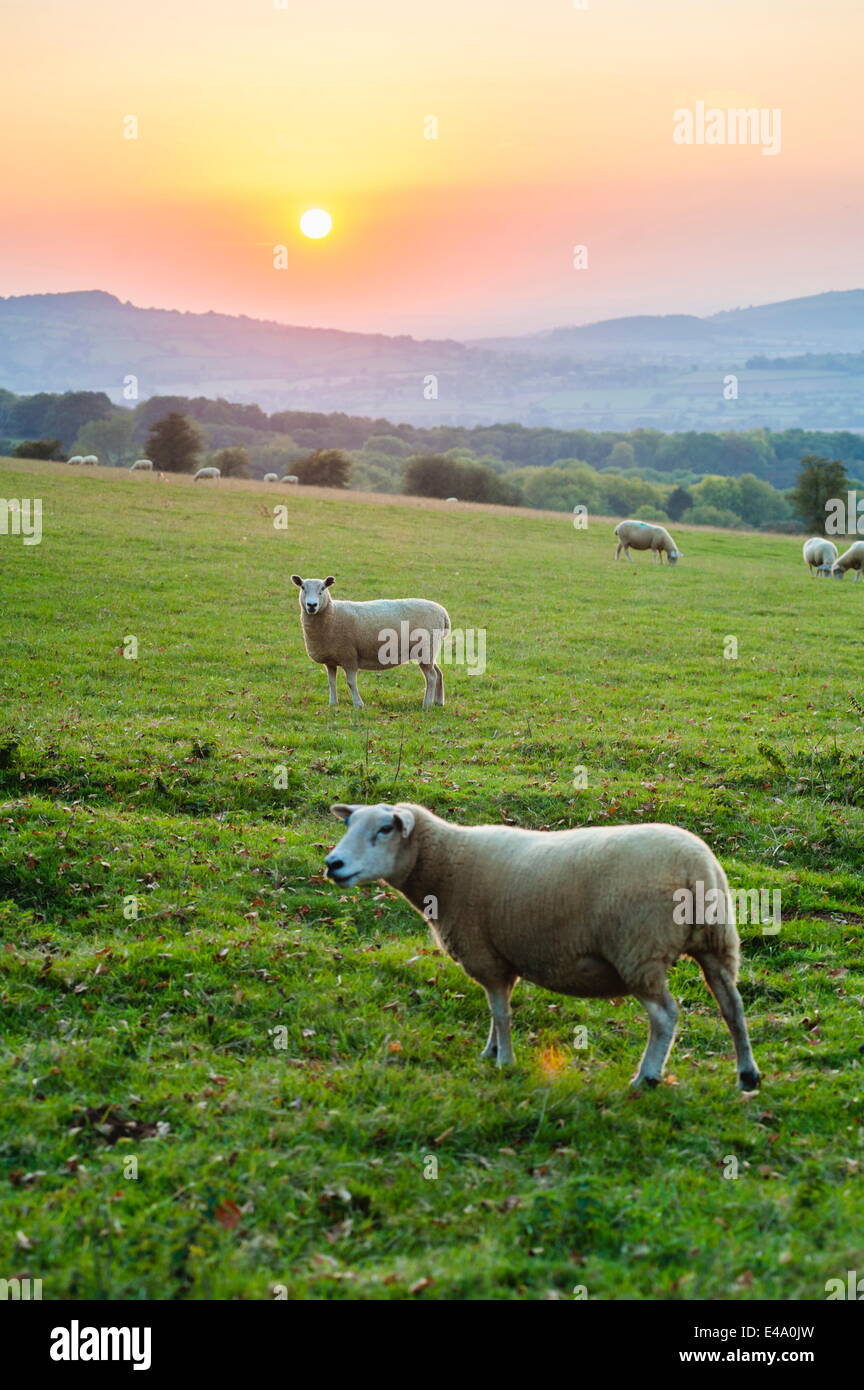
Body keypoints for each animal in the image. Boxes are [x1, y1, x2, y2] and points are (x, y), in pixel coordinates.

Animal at [293, 572, 452, 711]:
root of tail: (443, 613)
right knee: (438, 673)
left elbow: (351, 683)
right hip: (430, 650)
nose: (311, 605)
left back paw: (426, 705)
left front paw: (358, 705)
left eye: (323, 588)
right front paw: (333, 703)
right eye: (302, 587)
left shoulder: (349, 656)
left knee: (431, 677)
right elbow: (331, 682)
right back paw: (439, 702)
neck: (332, 614)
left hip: (425, 648)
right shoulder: (330, 660)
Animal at [326, 806, 766, 1095]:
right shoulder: (503, 959)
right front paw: (490, 1051)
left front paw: (504, 1062)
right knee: (733, 1006)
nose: (333, 863)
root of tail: (695, 866)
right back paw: (747, 1075)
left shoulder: (485, 955)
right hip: (717, 942)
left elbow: (501, 1013)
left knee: (665, 1015)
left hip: (638, 948)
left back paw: (648, 1076)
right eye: (349, 823)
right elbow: (496, 1011)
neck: (446, 863)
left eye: (385, 828)